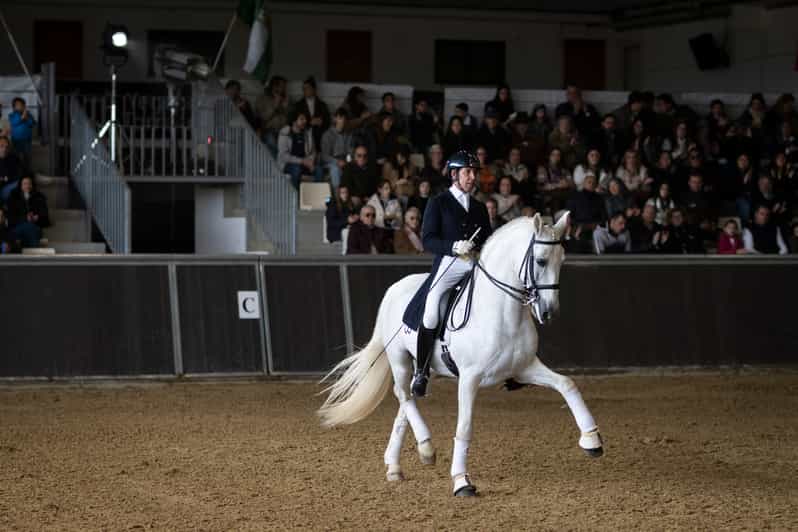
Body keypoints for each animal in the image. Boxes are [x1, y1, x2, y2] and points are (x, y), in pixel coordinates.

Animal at [318, 212, 603, 496]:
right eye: (541, 260)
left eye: (562, 260)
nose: (548, 312)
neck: (501, 313)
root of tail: (394, 289)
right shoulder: (469, 378)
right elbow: (464, 427)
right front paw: (461, 481)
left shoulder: (525, 368)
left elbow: (567, 384)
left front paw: (592, 440)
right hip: (399, 359)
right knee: (403, 395)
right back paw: (425, 447)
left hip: (424, 367)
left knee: (407, 399)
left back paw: (396, 465)